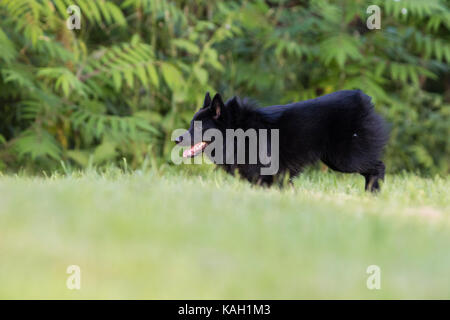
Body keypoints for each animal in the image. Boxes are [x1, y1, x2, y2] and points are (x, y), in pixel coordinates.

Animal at [174, 90, 388, 191]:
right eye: (191, 124)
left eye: (199, 127)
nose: (176, 139)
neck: (236, 132)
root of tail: (363, 98)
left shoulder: (268, 175)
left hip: (345, 159)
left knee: (378, 167)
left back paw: (373, 193)